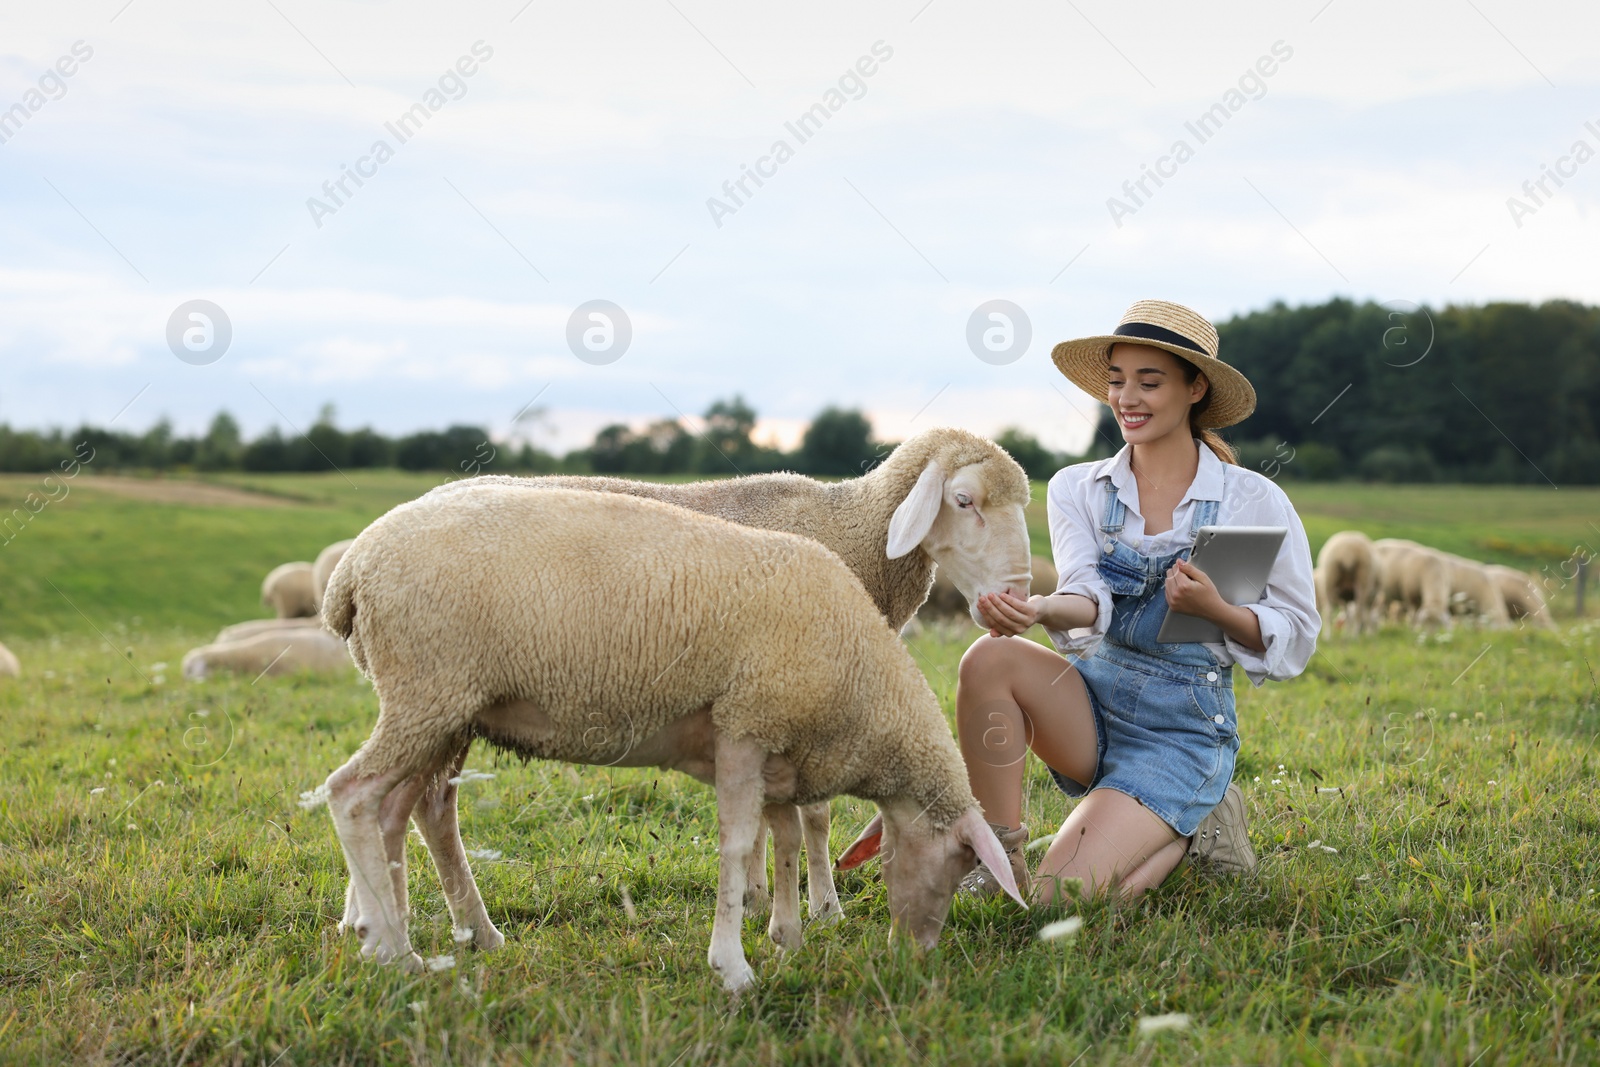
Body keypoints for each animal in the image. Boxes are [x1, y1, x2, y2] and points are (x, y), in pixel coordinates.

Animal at [315, 486, 1024, 991]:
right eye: (960, 861)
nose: (916, 956)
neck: (866, 687)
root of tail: (352, 568)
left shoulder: (778, 750)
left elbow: (787, 840)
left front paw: (788, 937)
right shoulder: (744, 726)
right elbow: (738, 846)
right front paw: (733, 967)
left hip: (446, 709)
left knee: (407, 810)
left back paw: (429, 937)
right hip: (427, 691)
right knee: (353, 795)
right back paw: (395, 952)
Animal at [419, 425, 1030, 927]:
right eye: (963, 500)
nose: (1017, 597)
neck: (848, 529)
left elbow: (758, 814)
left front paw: (756, 897)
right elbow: (816, 815)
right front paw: (824, 908)